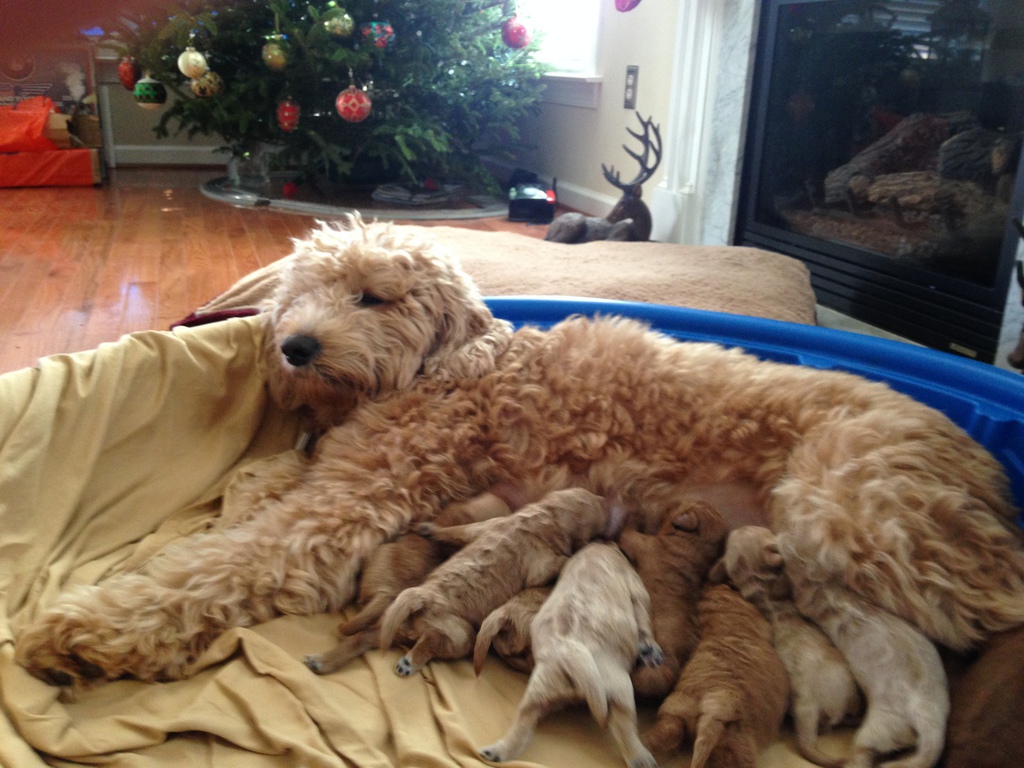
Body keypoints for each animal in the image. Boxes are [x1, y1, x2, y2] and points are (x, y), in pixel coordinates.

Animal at [377, 488, 624, 677]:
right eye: (600, 511)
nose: (607, 500)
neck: (545, 515)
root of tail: (423, 598)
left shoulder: (485, 526)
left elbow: (457, 531)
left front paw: (429, 529)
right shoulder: (541, 563)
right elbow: (563, 559)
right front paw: (584, 548)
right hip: (461, 633)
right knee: (434, 640)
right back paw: (410, 662)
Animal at [477, 541, 662, 768]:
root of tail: (564, 650)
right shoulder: (637, 589)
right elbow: (645, 621)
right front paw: (649, 647)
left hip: (540, 690)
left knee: (522, 725)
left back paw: (495, 752)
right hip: (620, 688)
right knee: (625, 729)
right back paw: (641, 758)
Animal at [618, 498, 728, 700]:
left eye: (679, 506)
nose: (671, 502)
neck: (690, 546)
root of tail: (673, 665)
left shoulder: (640, 542)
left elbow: (628, 529)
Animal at [644, 583, 790, 768]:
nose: (716, 583)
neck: (725, 621)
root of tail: (717, 707)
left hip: (675, 709)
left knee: (665, 733)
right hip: (741, 748)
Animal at [781, 536, 950, 768]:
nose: (779, 540)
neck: (833, 589)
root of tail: (932, 725)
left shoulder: (810, 599)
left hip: (875, 729)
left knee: (863, 755)